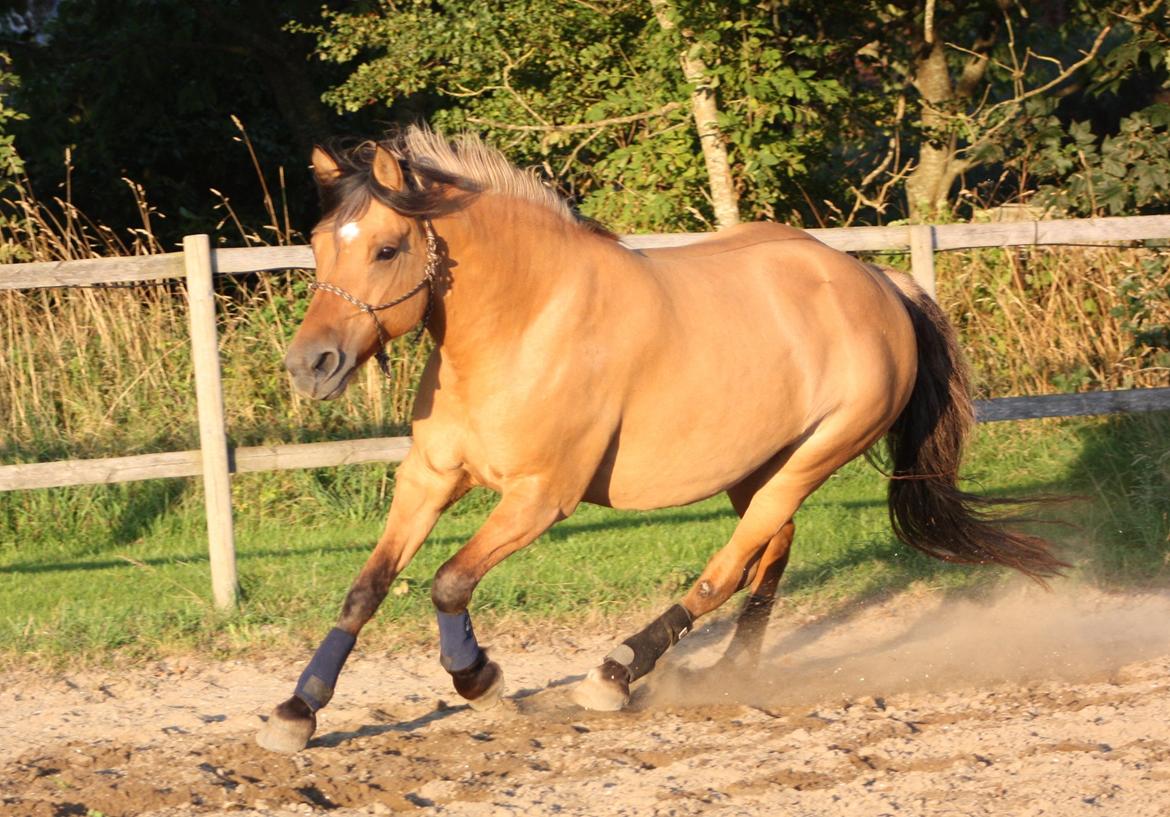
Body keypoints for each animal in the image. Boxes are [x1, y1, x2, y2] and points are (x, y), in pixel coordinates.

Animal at [258, 125, 1071, 749]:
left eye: (387, 249)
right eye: (319, 243)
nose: (309, 365)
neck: (524, 323)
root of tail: (880, 284)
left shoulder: (540, 498)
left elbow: (448, 580)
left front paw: (480, 679)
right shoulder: (429, 475)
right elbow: (366, 588)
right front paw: (296, 711)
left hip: (815, 455)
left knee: (727, 567)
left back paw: (616, 672)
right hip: (759, 465)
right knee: (772, 548)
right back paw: (730, 670)